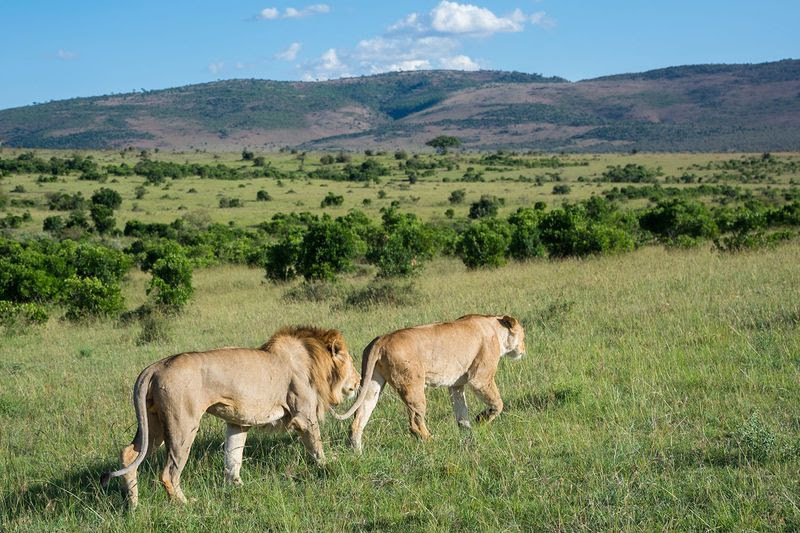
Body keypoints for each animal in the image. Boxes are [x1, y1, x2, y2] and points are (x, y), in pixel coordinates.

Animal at [101, 324, 358, 508]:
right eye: (352, 361)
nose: (359, 382)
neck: (313, 358)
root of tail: (156, 366)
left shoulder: (238, 422)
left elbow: (233, 457)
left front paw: (236, 486)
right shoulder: (304, 416)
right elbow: (317, 447)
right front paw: (327, 466)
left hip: (154, 423)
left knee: (128, 454)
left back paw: (133, 505)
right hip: (182, 424)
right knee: (168, 473)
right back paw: (186, 504)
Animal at [332, 314, 524, 450]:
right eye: (523, 337)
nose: (524, 349)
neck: (495, 326)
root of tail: (382, 339)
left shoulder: (456, 385)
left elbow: (461, 412)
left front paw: (468, 434)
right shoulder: (480, 379)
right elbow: (498, 404)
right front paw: (481, 420)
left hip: (372, 384)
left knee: (358, 420)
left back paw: (357, 453)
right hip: (413, 386)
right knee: (415, 423)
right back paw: (434, 442)